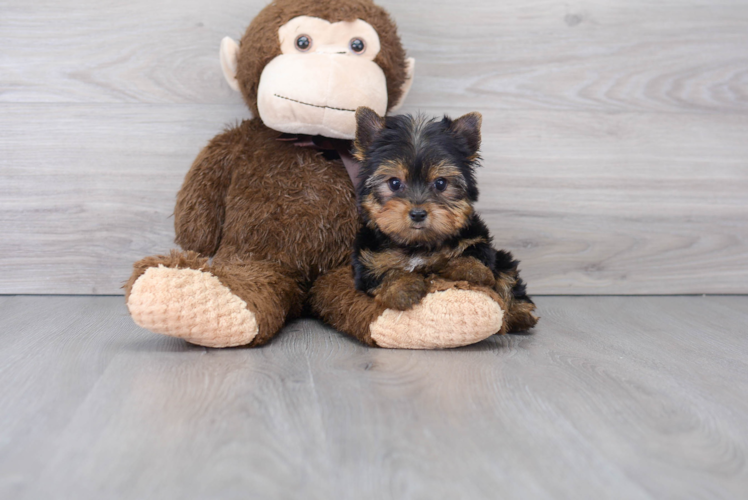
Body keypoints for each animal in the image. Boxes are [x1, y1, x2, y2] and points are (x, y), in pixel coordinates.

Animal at [350, 107, 536, 334]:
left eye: (440, 183)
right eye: (394, 183)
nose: (418, 214)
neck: (418, 244)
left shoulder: (476, 238)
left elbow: (476, 255)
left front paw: (470, 269)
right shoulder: (367, 259)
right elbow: (382, 275)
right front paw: (402, 288)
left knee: (507, 275)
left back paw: (520, 314)